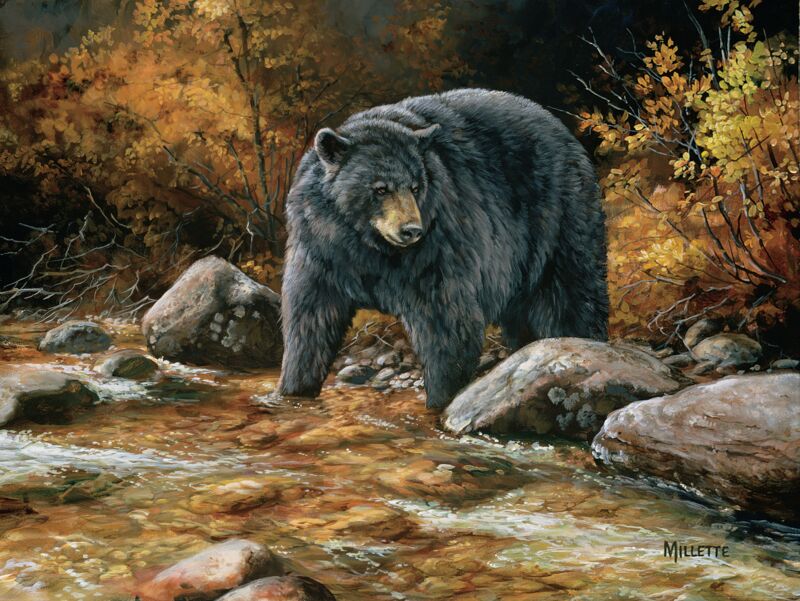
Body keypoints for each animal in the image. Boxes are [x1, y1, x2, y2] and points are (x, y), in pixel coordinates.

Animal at [278, 88, 608, 409]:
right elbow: (311, 318)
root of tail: (565, 134)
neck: (367, 244)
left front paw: (441, 400)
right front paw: (294, 390)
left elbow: (445, 320)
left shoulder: (436, 248)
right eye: (380, 188)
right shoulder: (321, 250)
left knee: (572, 298)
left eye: (415, 186)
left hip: (559, 224)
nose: (411, 230)